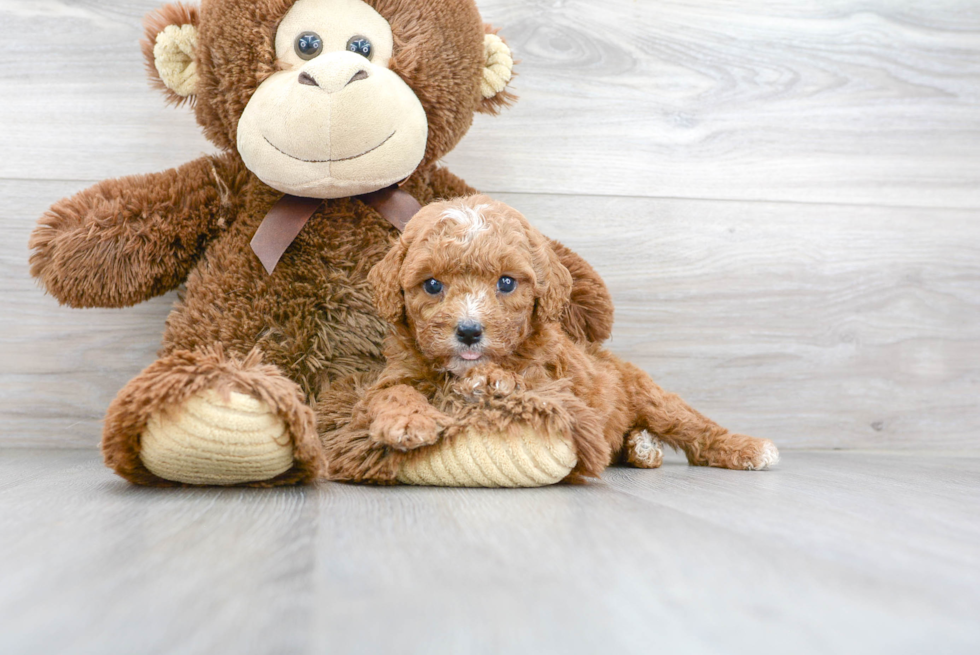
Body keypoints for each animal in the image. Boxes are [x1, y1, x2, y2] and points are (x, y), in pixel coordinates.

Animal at [326, 195, 776, 482]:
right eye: (432, 285)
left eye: (506, 282)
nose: (469, 331)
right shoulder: (394, 374)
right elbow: (392, 393)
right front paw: (407, 421)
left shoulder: (554, 379)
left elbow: (524, 379)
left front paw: (490, 380)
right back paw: (642, 448)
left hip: (652, 397)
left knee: (694, 427)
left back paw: (747, 448)